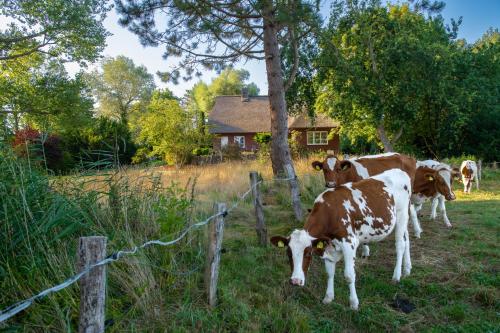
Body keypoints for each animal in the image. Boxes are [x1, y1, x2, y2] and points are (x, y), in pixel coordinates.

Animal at [272, 169, 412, 308]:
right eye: (288, 253)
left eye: (308, 253)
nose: (295, 281)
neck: (331, 212)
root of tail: (400, 171)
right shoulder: (328, 247)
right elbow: (329, 273)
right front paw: (328, 297)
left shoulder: (349, 243)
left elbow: (349, 275)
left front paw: (354, 303)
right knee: (407, 240)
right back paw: (407, 269)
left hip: (402, 215)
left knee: (400, 244)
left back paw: (396, 276)